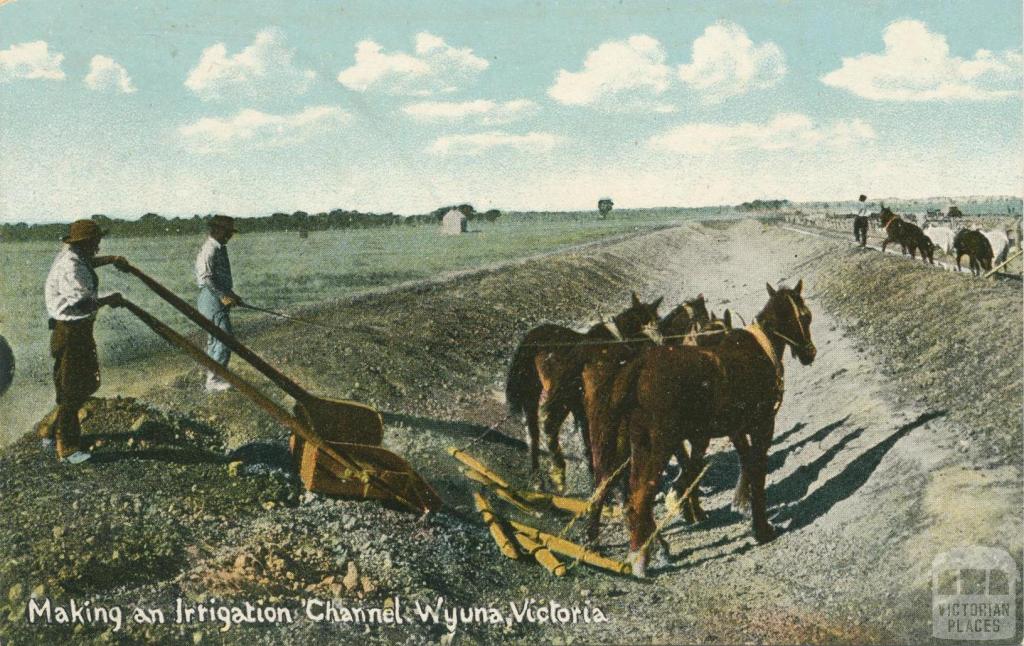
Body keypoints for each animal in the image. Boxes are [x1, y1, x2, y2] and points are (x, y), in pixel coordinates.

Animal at [503, 292, 663, 489]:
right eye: (654, 321)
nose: (660, 344)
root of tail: (531, 340)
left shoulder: (582, 408)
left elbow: (588, 443)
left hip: (533, 392)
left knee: (533, 434)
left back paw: (538, 477)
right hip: (558, 397)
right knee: (549, 425)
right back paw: (559, 475)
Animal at [598, 282, 815, 577]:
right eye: (806, 316)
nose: (810, 353)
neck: (760, 347)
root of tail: (638, 367)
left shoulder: (736, 429)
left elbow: (746, 464)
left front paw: (741, 505)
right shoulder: (762, 425)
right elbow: (758, 471)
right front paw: (761, 528)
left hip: (636, 447)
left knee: (630, 496)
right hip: (660, 446)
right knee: (641, 496)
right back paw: (642, 557)